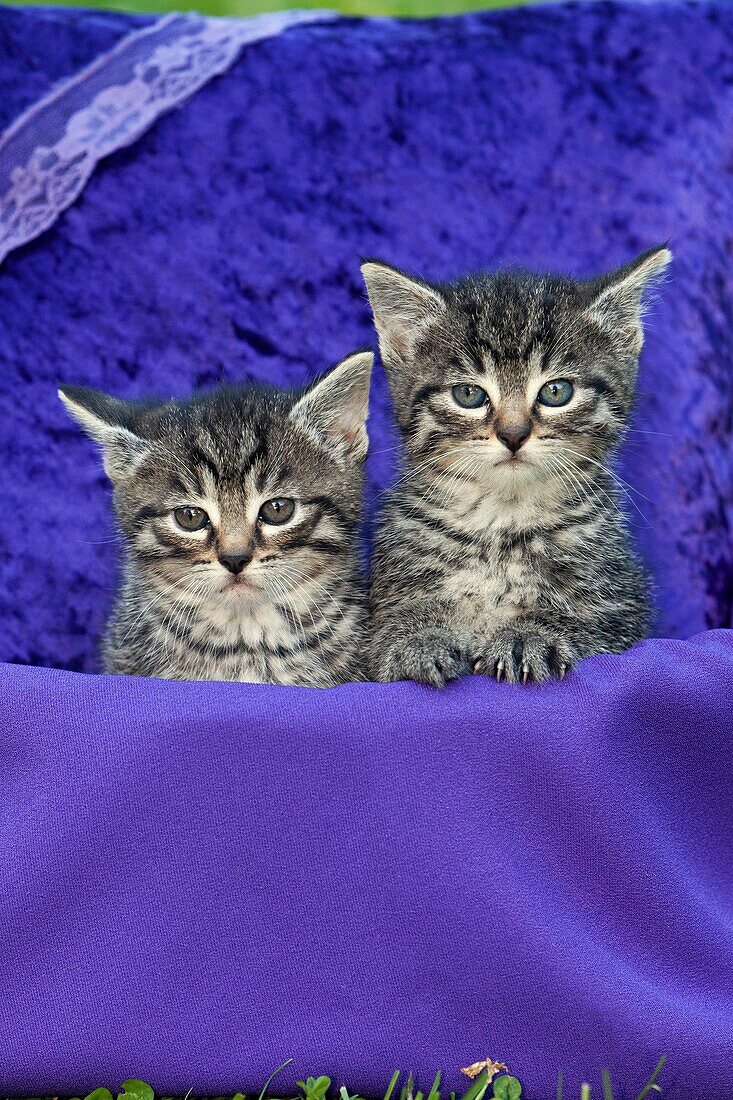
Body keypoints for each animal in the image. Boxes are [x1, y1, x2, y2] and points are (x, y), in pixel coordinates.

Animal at [358, 247, 669, 686]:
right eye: (468, 394)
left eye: (556, 391)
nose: (513, 434)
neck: (500, 523)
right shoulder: (383, 595)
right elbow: (387, 631)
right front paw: (418, 639)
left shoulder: (624, 612)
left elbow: (586, 626)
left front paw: (529, 634)